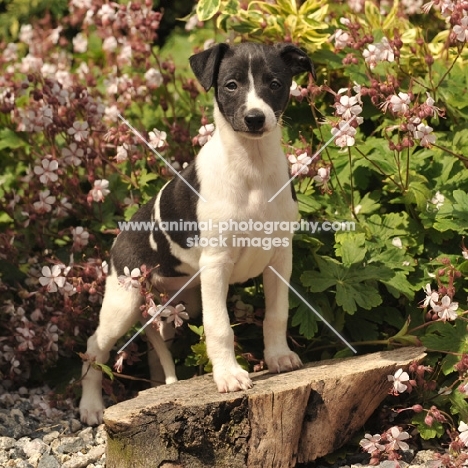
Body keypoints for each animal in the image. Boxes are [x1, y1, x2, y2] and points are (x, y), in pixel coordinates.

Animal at [79, 43, 314, 424]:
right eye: (231, 85)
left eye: (275, 83)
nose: (254, 118)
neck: (252, 167)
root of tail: (119, 238)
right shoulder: (216, 266)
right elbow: (219, 327)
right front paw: (229, 376)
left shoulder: (280, 258)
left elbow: (277, 314)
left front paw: (279, 356)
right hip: (123, 301)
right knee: (94, 347)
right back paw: (90, 406)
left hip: (180, 303)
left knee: (157, 341)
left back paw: (159, 386)